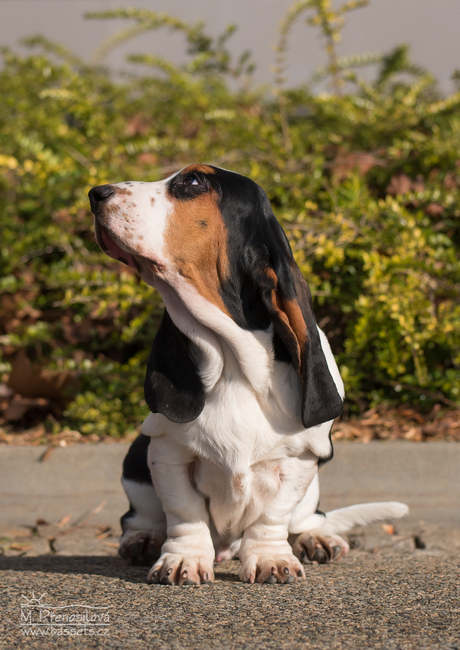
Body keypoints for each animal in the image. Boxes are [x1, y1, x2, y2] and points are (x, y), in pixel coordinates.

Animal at [89, 164, 408, 585]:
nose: (95, 194)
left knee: (307, 518)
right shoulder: (167, 453)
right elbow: (184, 513)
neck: (233, 364)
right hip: (136, 461)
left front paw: (272, 558)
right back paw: (143, 539)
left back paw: (316, 539)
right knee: (138, 516)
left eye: (193, 181)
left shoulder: (299, 460)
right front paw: (183, 559)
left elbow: (272, 517)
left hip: (313, 490)